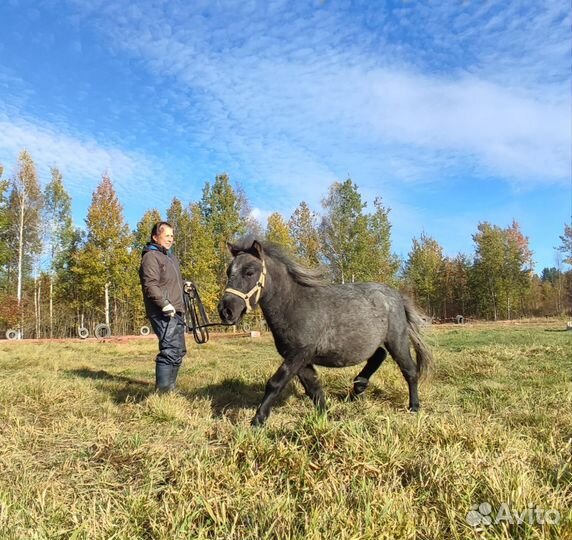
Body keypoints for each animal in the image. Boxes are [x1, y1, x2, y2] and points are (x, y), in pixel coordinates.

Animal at [217, 240, 432, 426]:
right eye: (228, 272)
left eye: (249, 272)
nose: (226, 311)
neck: (294, 305)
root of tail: (397, 296)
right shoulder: (300, 359)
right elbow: (314, 389)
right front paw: (325, 417)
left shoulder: (299, 355)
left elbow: (275, 383)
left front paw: (257, 421)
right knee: (379, 355)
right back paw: (358, 387)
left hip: (397, 341)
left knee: (410, 371)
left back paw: (413, 407)